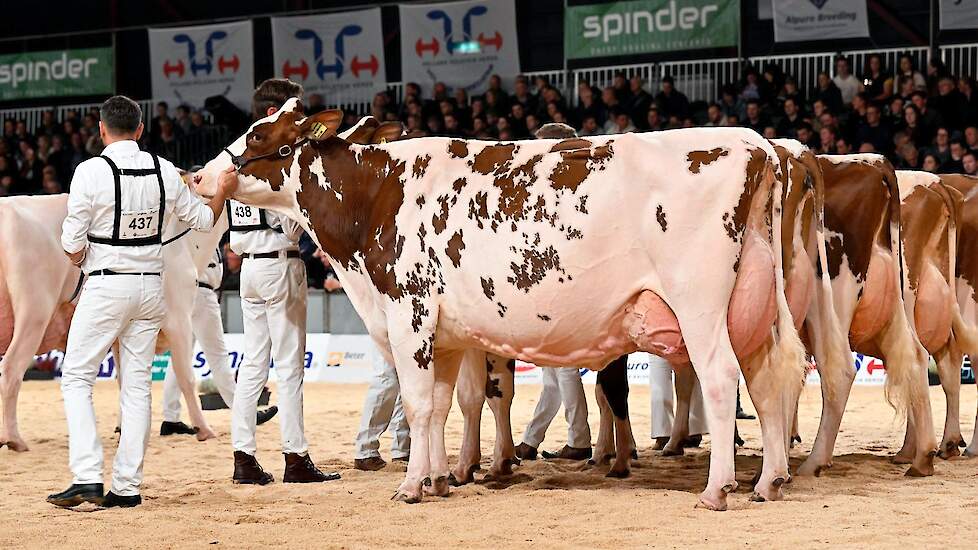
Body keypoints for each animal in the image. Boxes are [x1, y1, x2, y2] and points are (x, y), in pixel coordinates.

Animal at [194, 96, 804, 512]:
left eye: (258, 133)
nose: (199, 174)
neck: (377, 196)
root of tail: (757, 145)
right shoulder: (444, 333)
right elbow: (441, 406)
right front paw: (440, 479)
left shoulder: (409, 314)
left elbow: (418, 404)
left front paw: (411, 486)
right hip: (755, 306)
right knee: (769, 379)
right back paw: (769, 481)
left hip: (699, 304)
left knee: (722, 379)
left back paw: (717, 488)